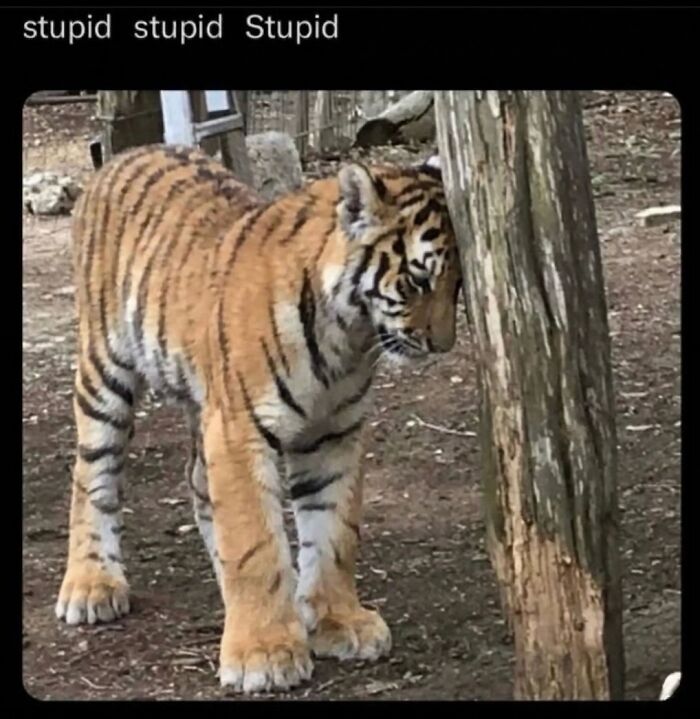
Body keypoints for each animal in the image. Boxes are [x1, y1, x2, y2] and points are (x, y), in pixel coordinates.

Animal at [54, 143, 462, 694]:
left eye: (459, 285)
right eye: (418, 281)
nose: (443, 345)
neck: (347, 336)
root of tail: (124, 155)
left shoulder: (335, 433)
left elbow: (334, 532)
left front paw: (338, 621)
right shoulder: (240, 428)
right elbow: (255, 543)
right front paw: (264, 654)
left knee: (198, 481)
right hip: (105, 372)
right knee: (91, 474)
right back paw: (91, 585)